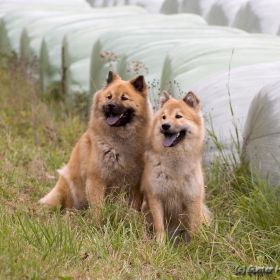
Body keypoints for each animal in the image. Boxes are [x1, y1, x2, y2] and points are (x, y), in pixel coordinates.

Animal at [39, 71, 151, 214]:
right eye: (109, 97)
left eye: (124, 98)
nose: (110, 105)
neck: (119, 142)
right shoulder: (96, 179)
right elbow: (98, 208)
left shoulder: (135, 184)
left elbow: (134, 206)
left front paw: (132, 216)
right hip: (67, 188)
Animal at [142, 91, 210, 242]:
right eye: (163, 117)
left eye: (178, 116)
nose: (165, 125)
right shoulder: (155, 197)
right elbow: (159, 226)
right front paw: (160, 244)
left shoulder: (192, 197)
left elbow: (194, 225)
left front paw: (196, 243)